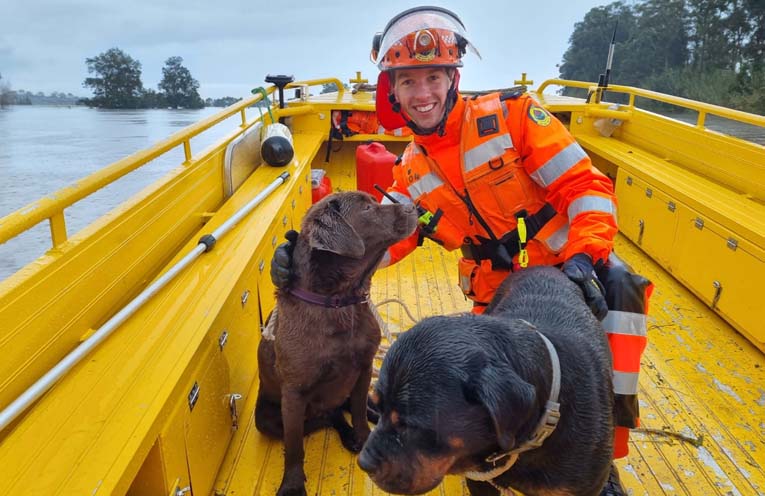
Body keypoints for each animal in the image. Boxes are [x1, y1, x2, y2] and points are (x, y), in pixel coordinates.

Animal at [255, 190, 418, 496]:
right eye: (367, 209)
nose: (413, 206)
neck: (339, 302)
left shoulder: (364, 367)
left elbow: (358, 410)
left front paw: (364, 437)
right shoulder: (293, 393)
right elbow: (294, 446)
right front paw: (292, 484)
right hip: (267, 420)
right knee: (326, 416)